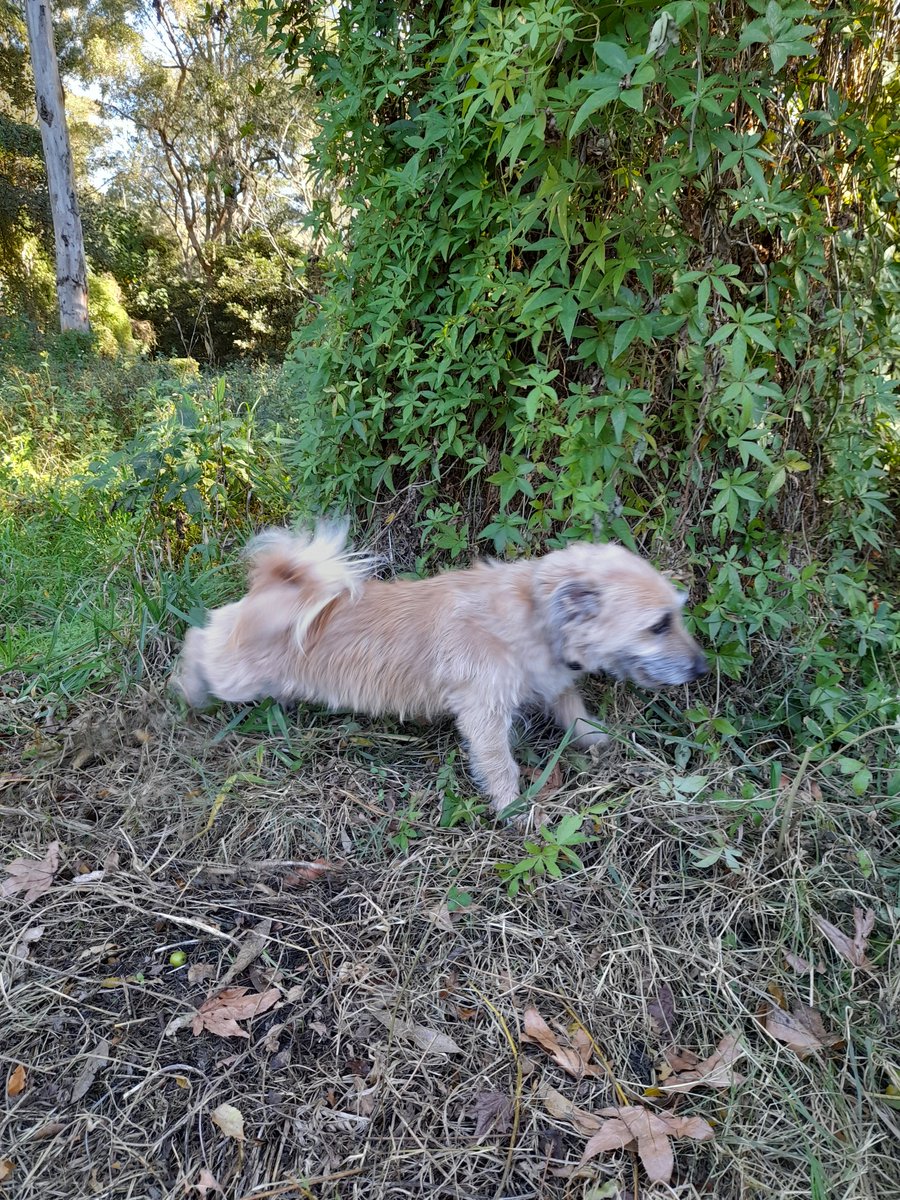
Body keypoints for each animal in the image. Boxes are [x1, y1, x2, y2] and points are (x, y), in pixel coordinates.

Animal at [176, 528, 710, 820]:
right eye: (658, 625)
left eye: (675, 614)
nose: (703, 667)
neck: (535, 613)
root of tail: (274, 587)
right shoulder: (483, 713)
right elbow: (500, 765)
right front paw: (516, 811)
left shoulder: (551, 683)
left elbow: (575, 712)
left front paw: (599, 740)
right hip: (235, 674)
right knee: (199, 638)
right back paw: (185, 688)